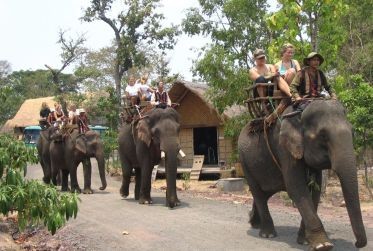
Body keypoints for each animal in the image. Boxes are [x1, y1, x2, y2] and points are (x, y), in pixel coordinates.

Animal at [238, 99, 366, 250]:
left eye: (353, 133)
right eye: (323, 136)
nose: (357, 243)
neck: (300, 113)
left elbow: (315, 191)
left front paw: (305, 241)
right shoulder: (284, 148)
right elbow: (296, 187)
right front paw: (323, 245)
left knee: (263, 194)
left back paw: (255, 223)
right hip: (244, 162)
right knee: (258, 193)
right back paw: (267, 234)